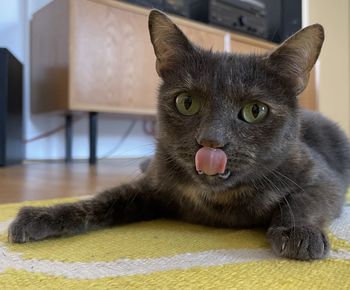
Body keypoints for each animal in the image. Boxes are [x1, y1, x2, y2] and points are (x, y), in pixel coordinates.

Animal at [7, 10, 350, 260]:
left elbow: (303, 200)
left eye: (255, 110)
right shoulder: (151, 188)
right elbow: (101, 200)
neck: (218, 200)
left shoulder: (324, 178)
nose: (211, 142)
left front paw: (299, 232)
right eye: (187, 102)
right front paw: (44, 215)